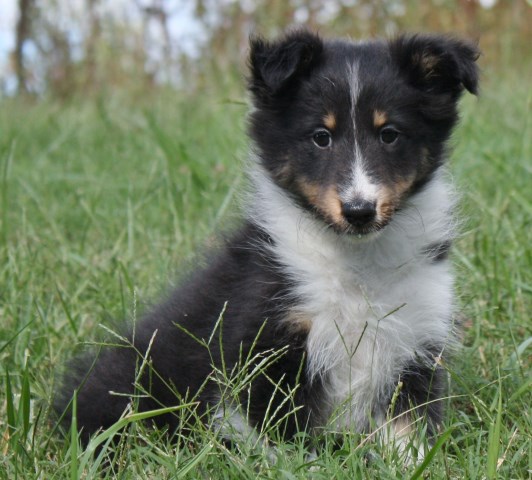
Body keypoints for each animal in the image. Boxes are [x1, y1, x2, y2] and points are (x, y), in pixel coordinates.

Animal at [56, 29, 480, 454]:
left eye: (389, 134)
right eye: (321, 137)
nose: (359, 211)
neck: (356, 260)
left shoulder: (415, 342)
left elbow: (408, 431)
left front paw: (415, 460)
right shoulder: (262, 342)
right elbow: (272, 432)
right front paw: (294, 461)